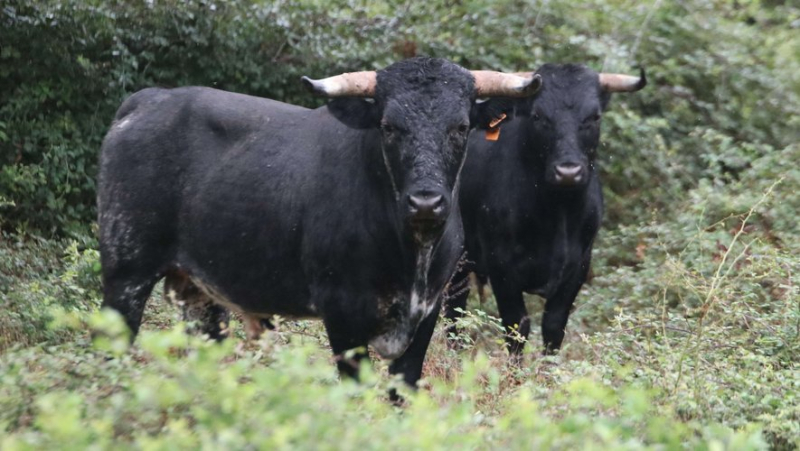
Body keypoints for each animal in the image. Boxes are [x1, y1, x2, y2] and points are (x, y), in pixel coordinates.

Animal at [97, 57, 540, 384]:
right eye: (388, 126)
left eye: (461, 127)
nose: (426, 202)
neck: (411, 250)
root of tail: (148, 100)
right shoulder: (342, 311)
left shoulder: (428, 311)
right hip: (125, 270)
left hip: (199, 292)